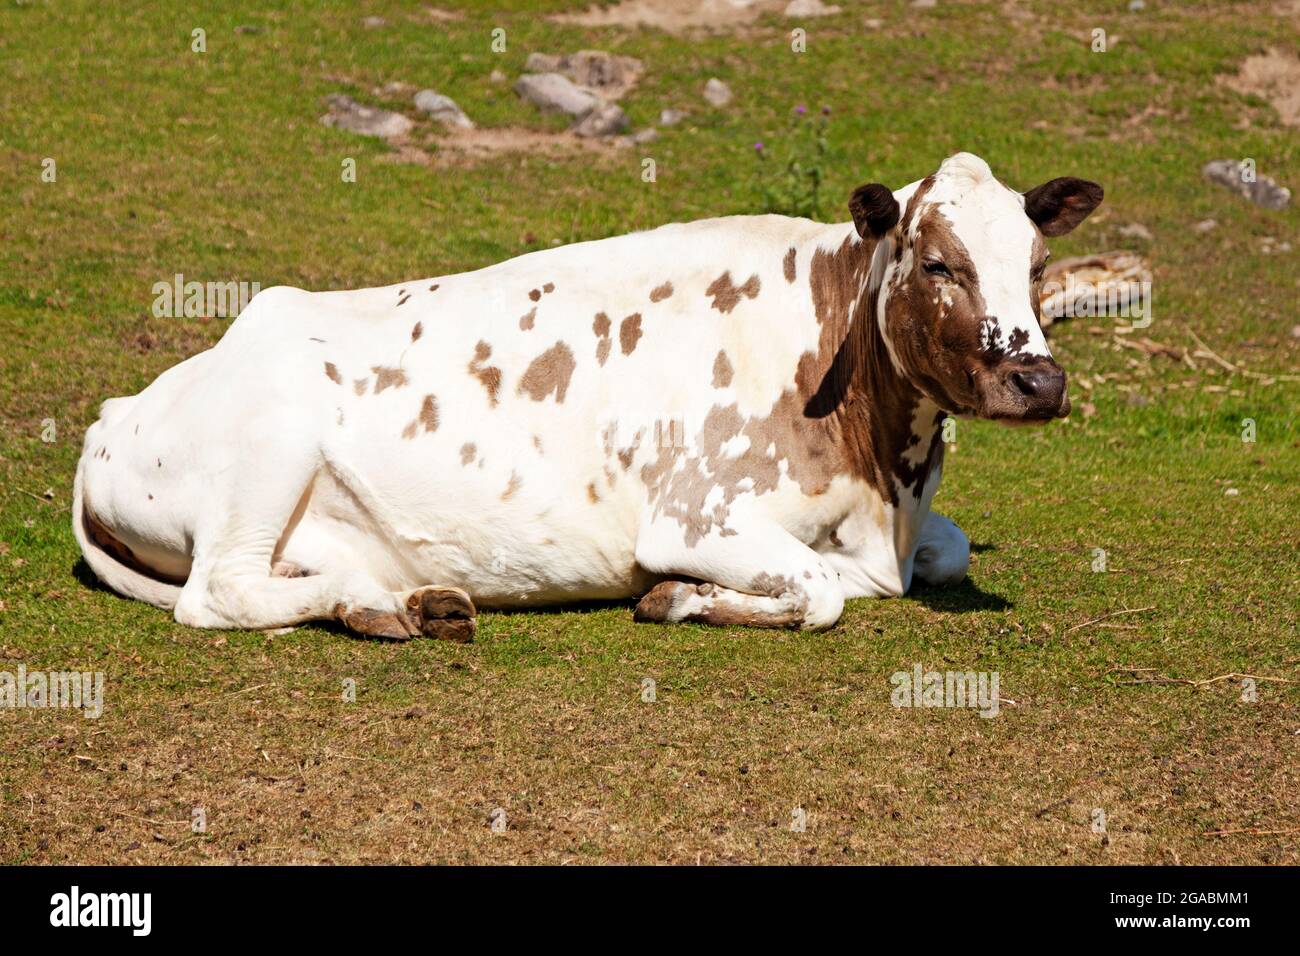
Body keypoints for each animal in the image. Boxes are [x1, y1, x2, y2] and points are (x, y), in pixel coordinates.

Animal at [71, 153, 1102, 639]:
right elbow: (817, 592)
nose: (1039, 380)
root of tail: (111, 418)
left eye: (1038, 264)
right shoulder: (697, 516)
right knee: (219, 592)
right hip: (269, 449)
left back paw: (397, 602)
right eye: (939, 263)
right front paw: (682, 599)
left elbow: (937, 558)